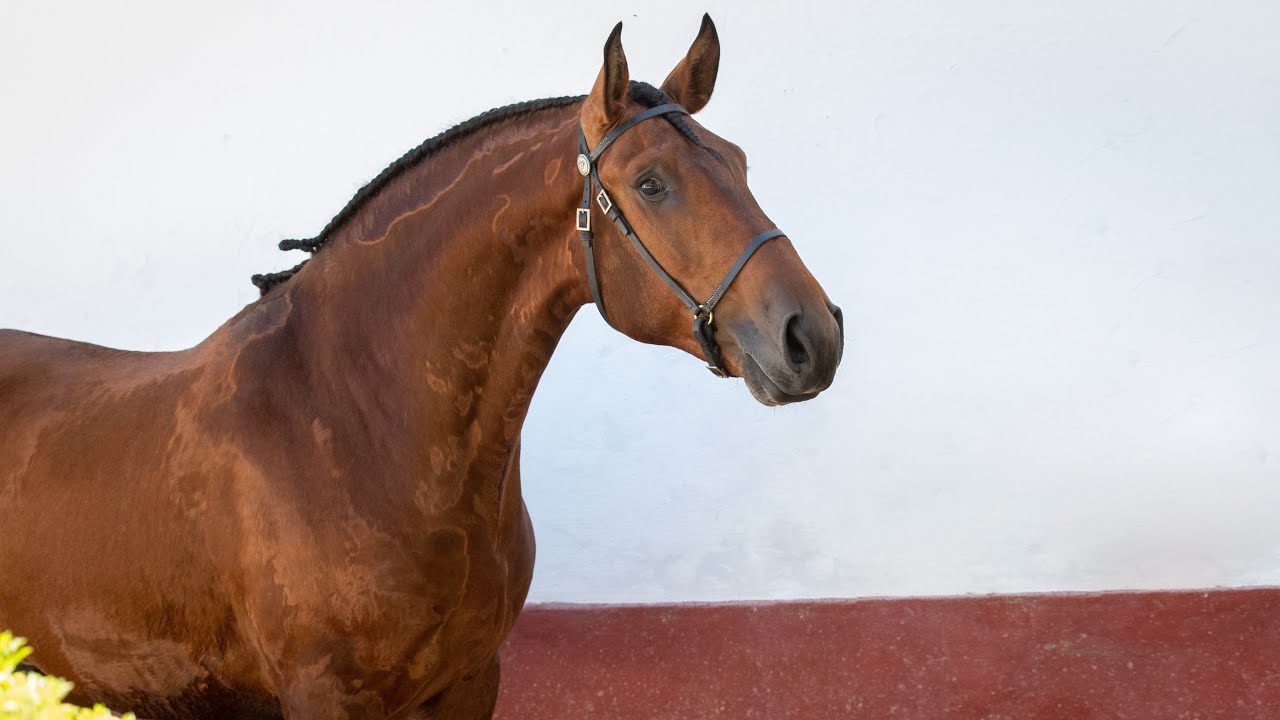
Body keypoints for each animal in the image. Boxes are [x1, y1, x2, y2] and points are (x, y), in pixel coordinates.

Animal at [0, 15, 842, 720]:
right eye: (650, 183)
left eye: (738, 162)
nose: (812, 335)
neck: (355, 430)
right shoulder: (324, 697)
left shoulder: (468, 682)